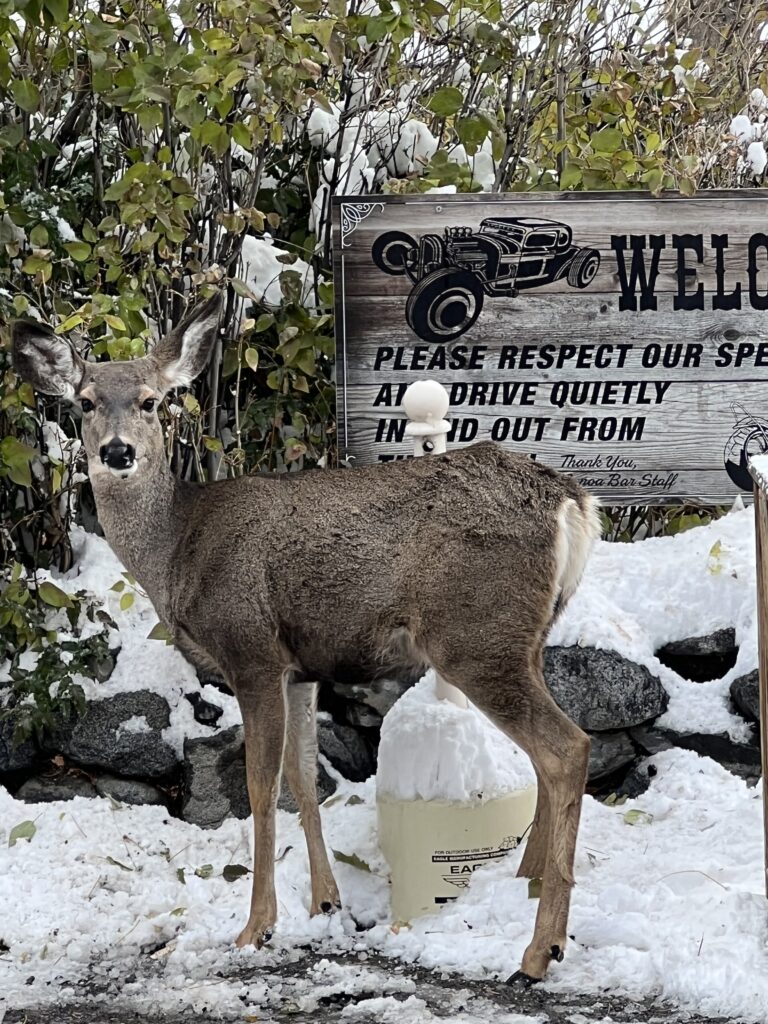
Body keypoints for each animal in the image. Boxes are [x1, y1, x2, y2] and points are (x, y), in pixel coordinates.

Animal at [10, 288, 602, 983]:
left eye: (152, 401)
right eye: (84, 402)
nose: (118, 452)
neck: (179, 551)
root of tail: (572, 501)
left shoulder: (252, 651)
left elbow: (260, 787)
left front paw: (256, 927)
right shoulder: (300, 669)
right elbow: (301, 778)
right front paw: (325, 903)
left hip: (477, 635)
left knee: (567, 747)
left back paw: (539, 950)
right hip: (521, 639)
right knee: (548, 753)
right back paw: (526, 886)